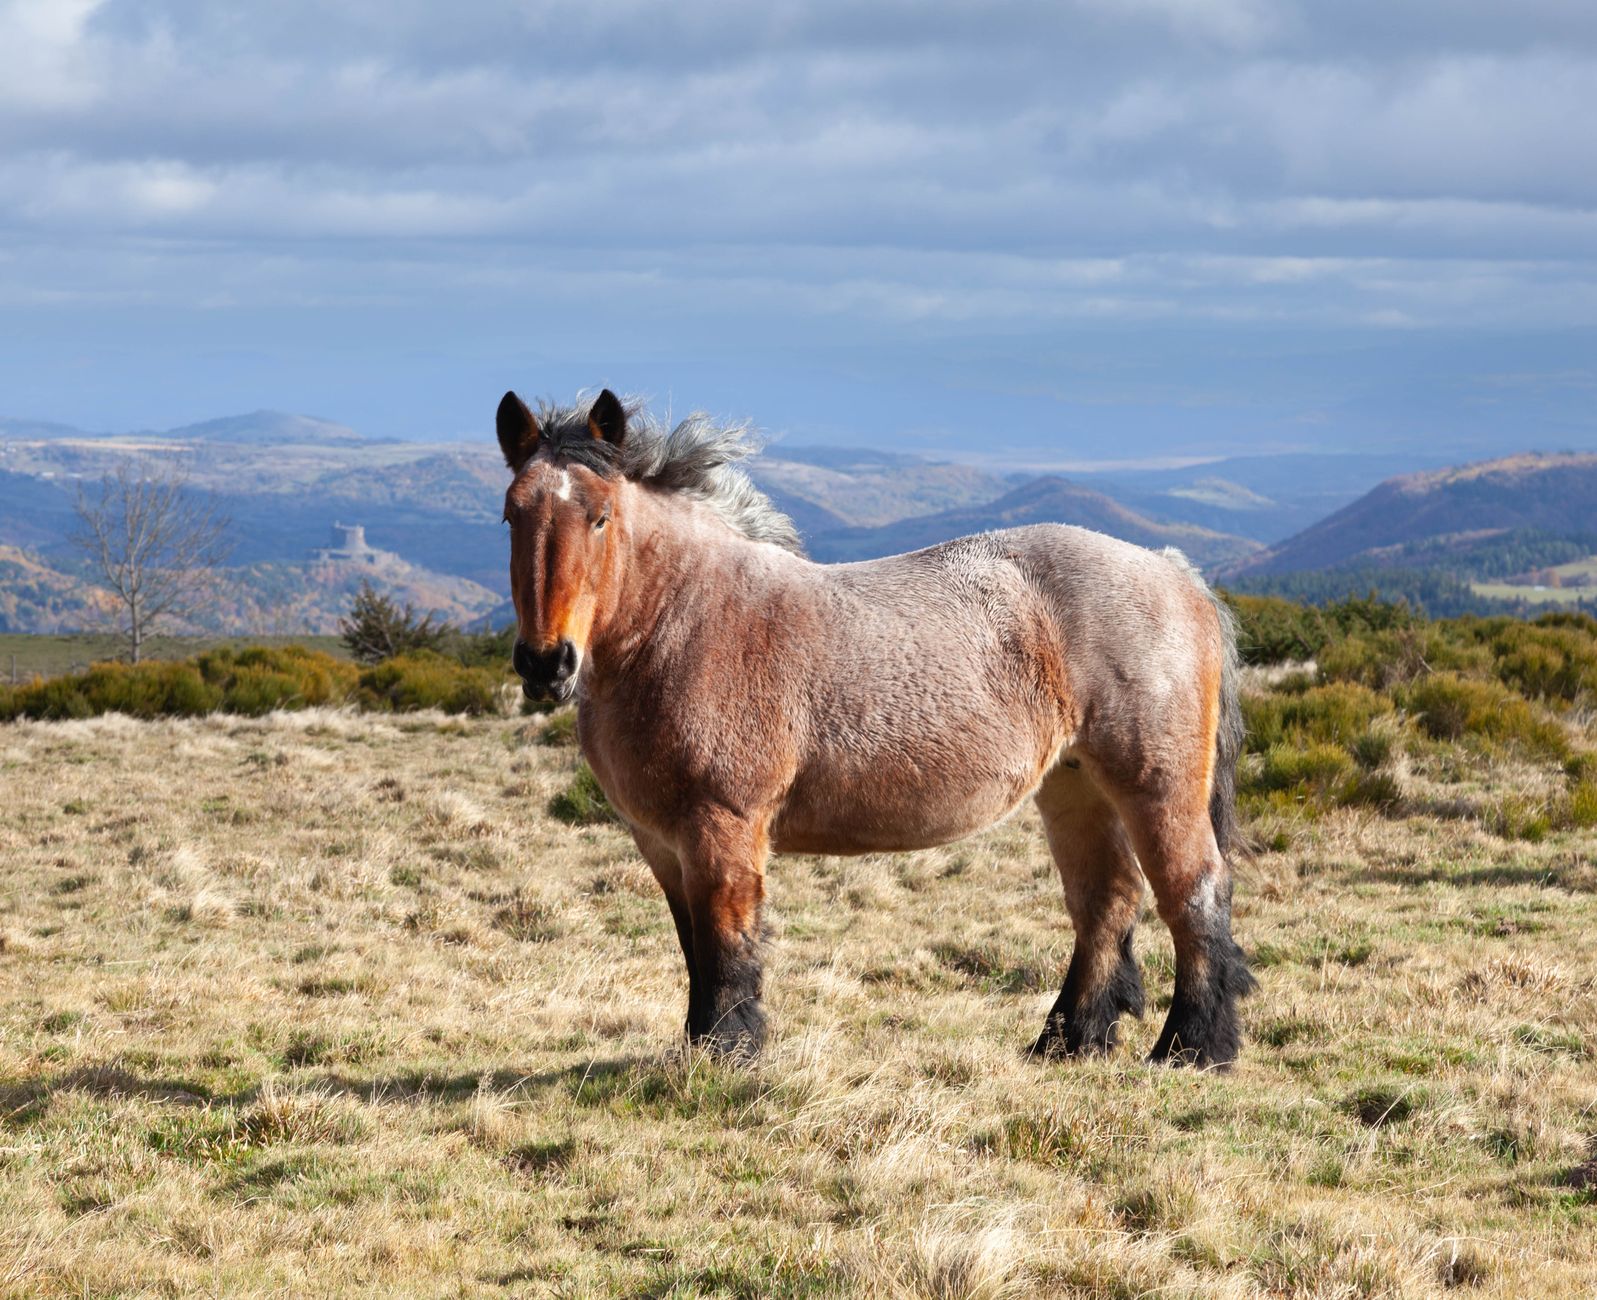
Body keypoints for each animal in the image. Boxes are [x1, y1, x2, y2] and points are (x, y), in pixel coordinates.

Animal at [496, 388, 1255, 1069]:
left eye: (599, 517)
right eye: (511, 514)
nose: (545, 662)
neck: (686, 621)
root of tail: (1171, 569)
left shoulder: (722, 825)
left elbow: (727, 941)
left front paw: (728, 1053)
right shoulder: (659, 841)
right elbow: (695, 948)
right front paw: (700, 1045)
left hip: (1155, 786)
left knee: (1192, 892)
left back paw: (1192, 1048)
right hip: (1072, 785)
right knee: (1105, 901)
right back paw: (1067, 1042)